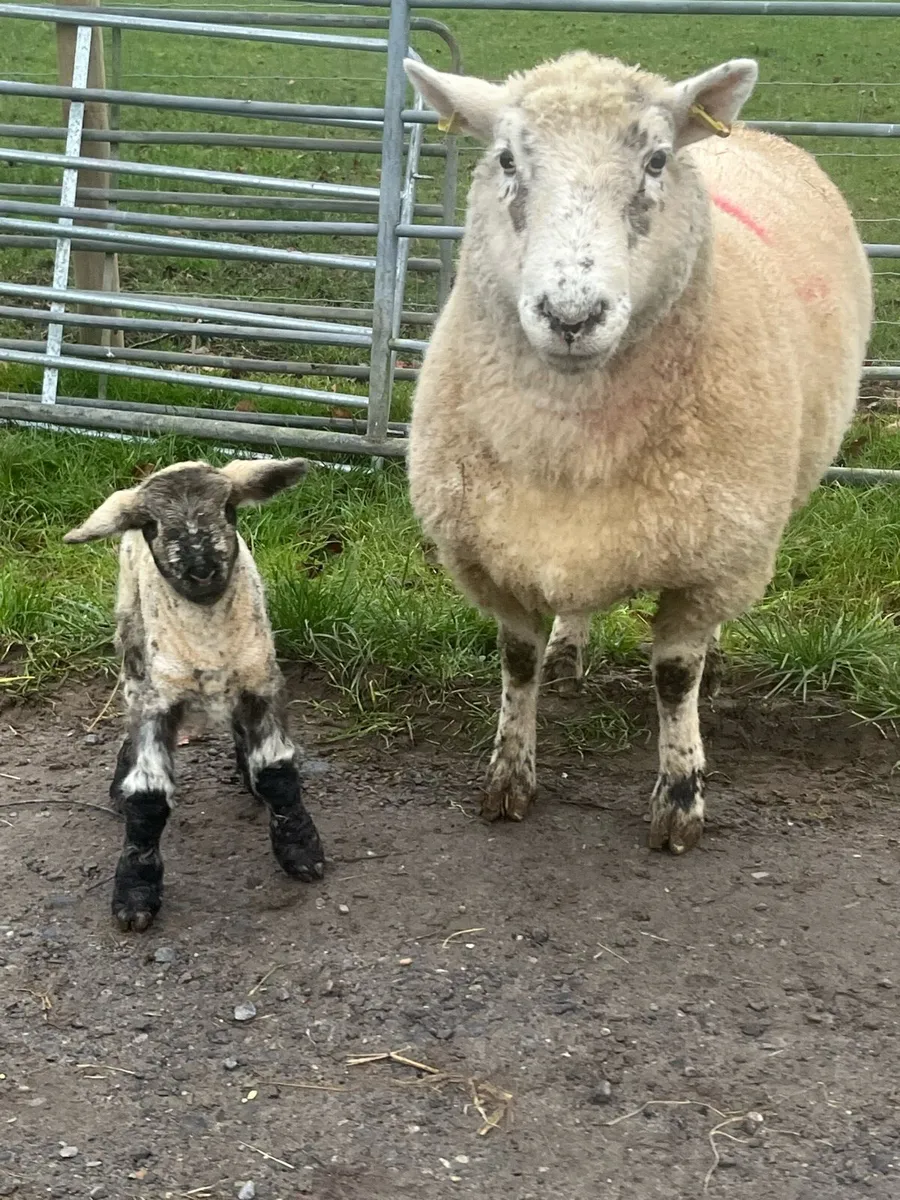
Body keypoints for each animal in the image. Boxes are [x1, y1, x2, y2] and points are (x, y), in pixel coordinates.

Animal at [64, 457, 324, 930]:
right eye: (150, 524)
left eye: (229, 509)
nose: (200, 569)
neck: (207, 630)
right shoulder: (158, 700)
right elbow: (148, 798)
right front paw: (135, 893)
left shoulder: (261, 679)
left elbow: (276, 772)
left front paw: (300, 849)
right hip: (132, 640)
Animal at [403, 51, 873, 853]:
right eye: (506, 159)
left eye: (656, 160)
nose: (571, 315)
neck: (569, 441)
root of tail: (754, 136)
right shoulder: (491, 553)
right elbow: (517, 663)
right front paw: (509, 775)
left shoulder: (711, 560)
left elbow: (674, 678)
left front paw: (680, 797)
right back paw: (570, 646)